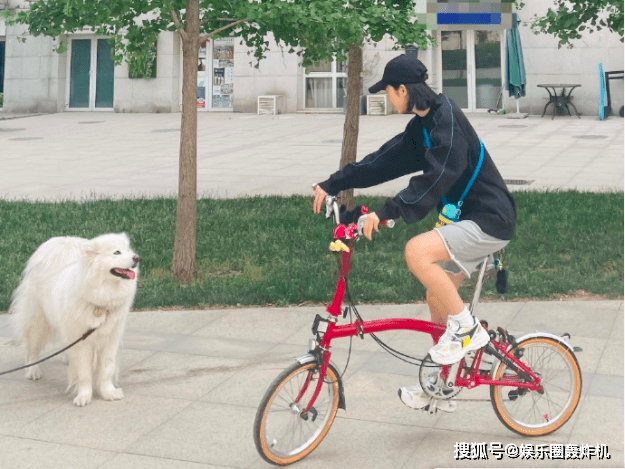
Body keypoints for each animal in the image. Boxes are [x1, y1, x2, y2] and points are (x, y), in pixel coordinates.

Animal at [9, 232, 139, 404]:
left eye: (128, 250)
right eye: (117, 252)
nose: (137, 258)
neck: (101, 301)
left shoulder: (110, 338)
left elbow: (106, 368)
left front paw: (109, 393)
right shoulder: (82, 340)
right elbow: (83, 372)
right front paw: (84, 397)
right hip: (38, 322)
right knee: (32, 348)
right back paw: (33, 371)